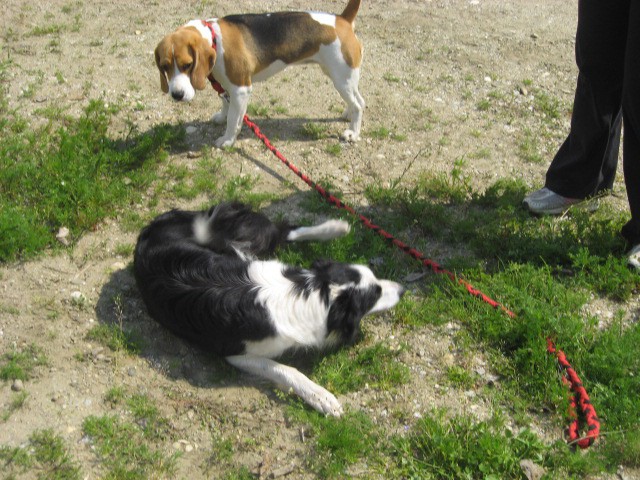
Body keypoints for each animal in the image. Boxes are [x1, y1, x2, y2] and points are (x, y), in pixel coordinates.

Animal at [134, 201, 404, 414]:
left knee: (281, 232)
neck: (315, 294)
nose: (402, 289)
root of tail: (152, 226)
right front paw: (322, 398)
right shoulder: (237, 353)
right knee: (278, 232)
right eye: (376, 294)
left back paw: (336, 227)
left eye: (376, 279)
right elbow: (287, 370)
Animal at [154, 0, 364, 147]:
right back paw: (348, 114)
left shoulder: (240, 89)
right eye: (164, 66)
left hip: (341, 78)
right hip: (341, 76)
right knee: (357, 100)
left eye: (187, 64)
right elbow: (225, 105)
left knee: (359, 104)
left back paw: (353, 133)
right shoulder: (226, 85)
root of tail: (342, 19)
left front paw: (227, 140)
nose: (177, 95)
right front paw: (221, 117)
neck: (214, 39)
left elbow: (233, 119)